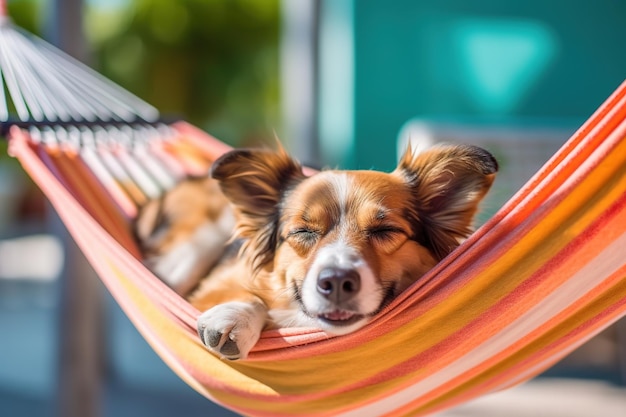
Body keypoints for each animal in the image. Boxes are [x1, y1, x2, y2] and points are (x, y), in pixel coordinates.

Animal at [134, 143, 494, 358]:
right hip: (196, 247)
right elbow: (253, 298)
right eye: (303, 231)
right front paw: (233, 316)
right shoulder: (211, 288)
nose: (336, 282)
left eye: (385, 231)